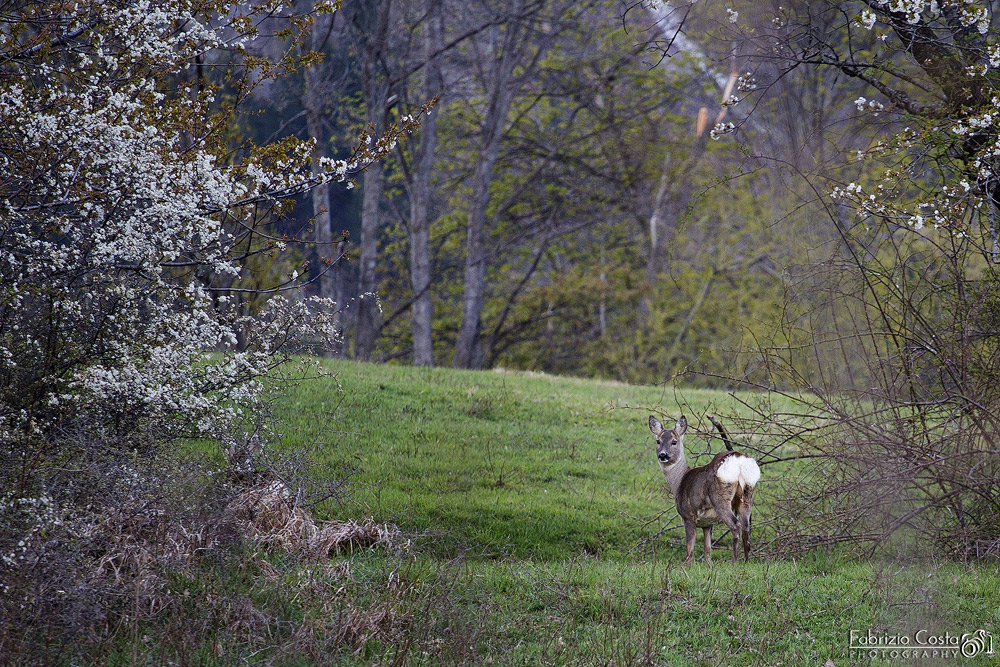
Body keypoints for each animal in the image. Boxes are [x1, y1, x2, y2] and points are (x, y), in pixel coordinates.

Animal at [648, 414, 756, 568]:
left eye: (674, 442)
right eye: (658, 441)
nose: (663, 455)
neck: (679, 481)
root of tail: (738, 461)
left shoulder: (687, 515)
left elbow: (690, 548)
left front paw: (686, 567)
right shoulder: (707, 523)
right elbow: (707, 549)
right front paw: (710, 567)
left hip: (720, 499)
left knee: (736, 526)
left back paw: (734, 563)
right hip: (747, 496)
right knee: (746, 529)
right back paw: (746, 562)